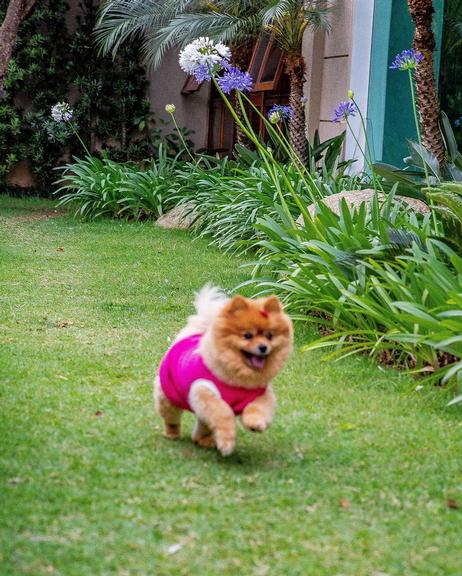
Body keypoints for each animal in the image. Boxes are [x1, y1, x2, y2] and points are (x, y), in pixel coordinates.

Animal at [155, 284, 292, 454]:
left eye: (269, 336)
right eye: (247, 335)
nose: (263, 347)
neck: (237, 380)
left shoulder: (261, 394)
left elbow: (259, 409)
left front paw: (255, 423)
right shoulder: (203, 391)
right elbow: (222, 412)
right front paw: (227, 442)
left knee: (203, 423)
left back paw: (203, 440)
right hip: (167, 396)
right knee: (171, 417)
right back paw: (172, 433)